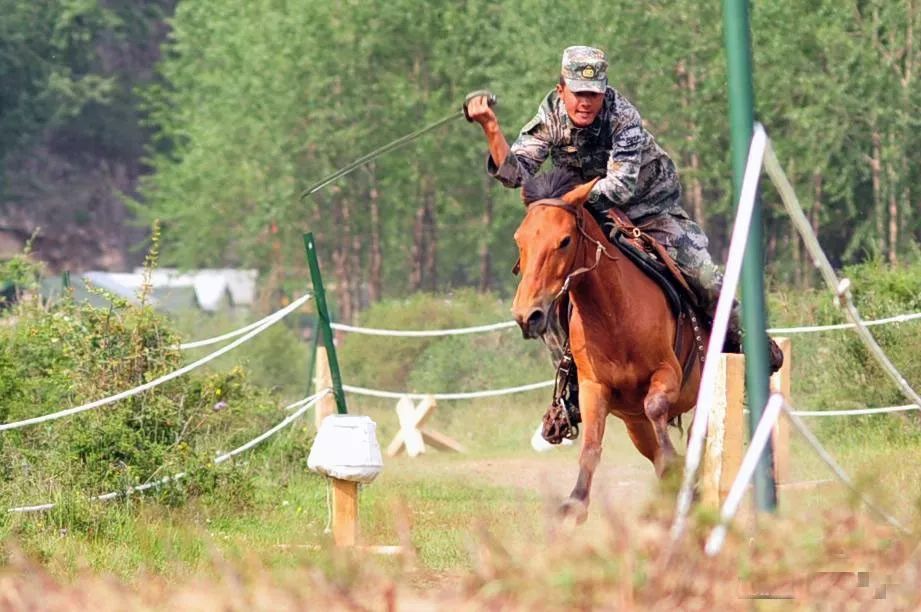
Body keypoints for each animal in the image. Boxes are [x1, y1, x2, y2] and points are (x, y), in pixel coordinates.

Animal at [510, 171, 704, 520]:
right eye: (520, 240)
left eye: (564, 241)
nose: (527, 315)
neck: (615, 314)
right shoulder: (593, 388)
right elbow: (590, 446)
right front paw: (575, 502)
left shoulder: (668, 372)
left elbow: (656, 407)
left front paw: (676, 461)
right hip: (634, 425)